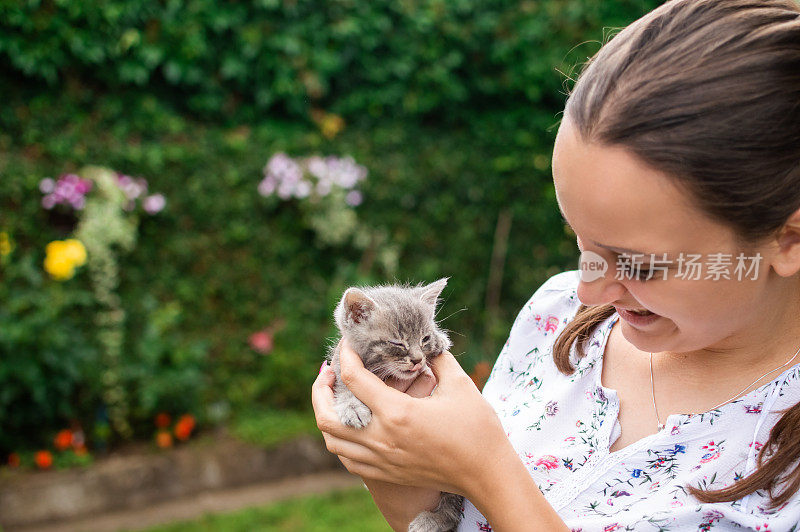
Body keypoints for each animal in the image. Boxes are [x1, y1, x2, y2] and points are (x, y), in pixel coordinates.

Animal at [324, 276, 462, 528]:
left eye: (424, 338)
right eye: (397, 343)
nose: (417, 359)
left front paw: (439, 339)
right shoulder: (338, 366)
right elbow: (344, 387)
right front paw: (352, 407)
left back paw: (433, 519)